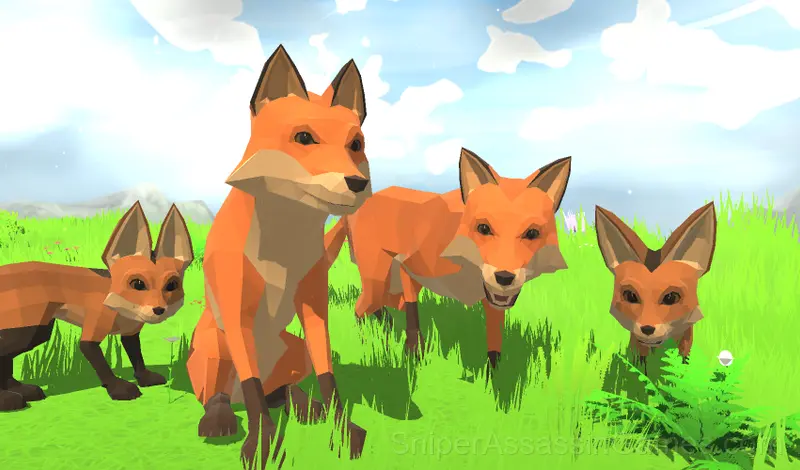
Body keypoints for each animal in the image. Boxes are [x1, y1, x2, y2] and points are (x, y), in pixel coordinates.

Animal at [0, 201, 194, 412]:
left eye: (172, 285)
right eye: (137, 284)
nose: (158, 310)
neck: (120, 310)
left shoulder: (130, 333)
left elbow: (137, 357)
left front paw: (144, 378)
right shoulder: (91, 334)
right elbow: (102, 366)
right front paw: (118, 389)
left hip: (38, 331)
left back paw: (20, 390)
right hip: (26, 330)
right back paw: (7, 399)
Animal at [184, 44, 370, 467]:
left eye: (356, 145)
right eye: (304, 137)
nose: (358, 184)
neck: (283, 247)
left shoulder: (314, 305)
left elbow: (329, 379)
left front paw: (341, 431)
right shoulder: (236, 314)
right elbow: (253, 394)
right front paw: (261, 445)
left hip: (295, 350)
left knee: (281, 391)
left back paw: (302, 405)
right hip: (214, 345)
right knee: (226, 394)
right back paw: (220, 419)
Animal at [325, 148, 572, 369]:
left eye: (532, 233)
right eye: (484, 228)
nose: (504, 277)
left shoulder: (492, 298)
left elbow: (494, 344)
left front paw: (492, 378)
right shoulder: (409, 266)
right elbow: (413, 317)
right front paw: (414, 355)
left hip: (388, 289)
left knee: (379, 309)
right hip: (378, 281)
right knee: (361, 309)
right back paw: (370, 341)